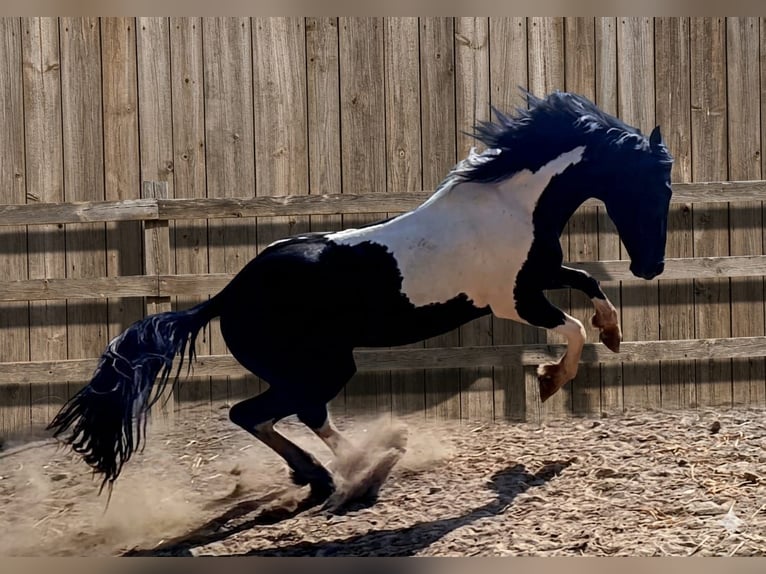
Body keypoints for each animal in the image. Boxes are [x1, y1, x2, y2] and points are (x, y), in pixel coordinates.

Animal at [47, 90, 674, 505]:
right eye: (652, 185)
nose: (652, 267)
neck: (511, 204)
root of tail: (227, 296)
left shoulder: (539, 275)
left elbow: (591, 287)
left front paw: (615, 335)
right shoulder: (513, 300)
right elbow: (571, 328)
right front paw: (549, 381)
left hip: (306, 368)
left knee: (261, 414)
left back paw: (322, 475)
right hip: (322, 366)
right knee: (282, 412)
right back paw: (362, 466)